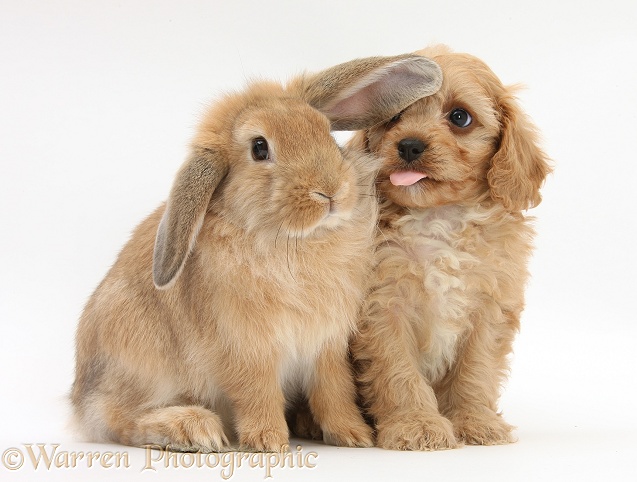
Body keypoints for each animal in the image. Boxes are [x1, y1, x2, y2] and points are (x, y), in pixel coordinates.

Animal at [68, 52, 438, 452]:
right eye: (259, 148)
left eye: (325, 131)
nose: (330, 191)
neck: (294, 240)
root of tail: (79, 398)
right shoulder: (246, 348)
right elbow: (257, 394)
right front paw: (269, 442)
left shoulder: (326, 346)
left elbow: (333, 391)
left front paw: (354, 436)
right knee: (118, 420)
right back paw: (192, 429)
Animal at [350, 43, 548, 450]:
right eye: (394, 117)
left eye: (460, 117)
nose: (409, 145)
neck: (438, 218)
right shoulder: (384, 308)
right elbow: (397, 372)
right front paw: (416, 423)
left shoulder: (489, 310)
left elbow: (476, 371)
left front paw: (474, 420)